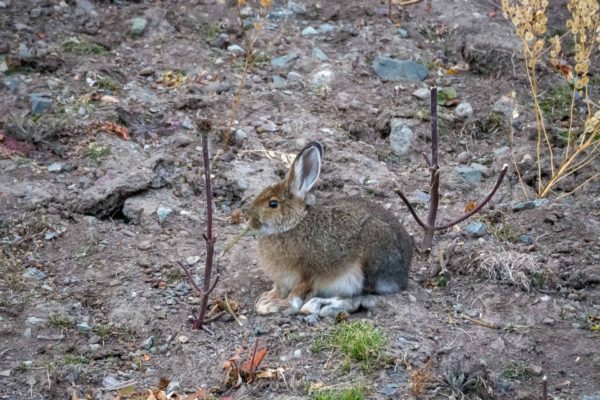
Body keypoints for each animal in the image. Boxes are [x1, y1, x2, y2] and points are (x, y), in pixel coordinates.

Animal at [245, 142, 412, 318]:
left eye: (273, 204)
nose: (250, 220)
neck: (294, 223)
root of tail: (402, 274)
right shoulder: (283, 279)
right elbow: (279, 289)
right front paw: (266, 299)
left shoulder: (308, 273)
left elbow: (296, 296)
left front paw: (277, 305)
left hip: (366, 266)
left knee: (362, 297)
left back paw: (319, 305)